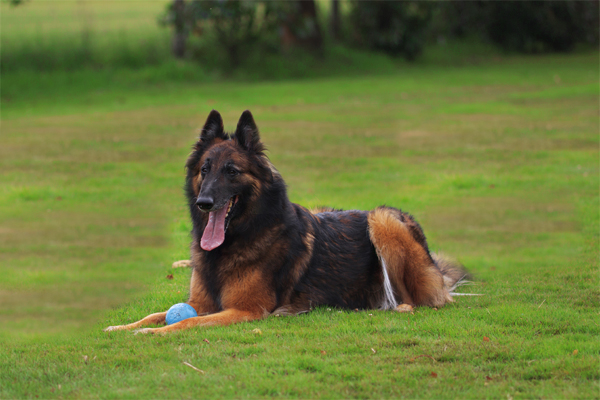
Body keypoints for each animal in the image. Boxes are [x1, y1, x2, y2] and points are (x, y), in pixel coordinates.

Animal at [105, 110, 466, 334]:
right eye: (204, 170)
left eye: (231, 171)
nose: (203, 202)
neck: (239, 238)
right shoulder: (199, 302)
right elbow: (155, 313)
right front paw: (122, 327)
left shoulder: (245, 310)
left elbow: (183, 322)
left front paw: (152, 334)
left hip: (384, 218)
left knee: (424, 298)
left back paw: (397, 306)